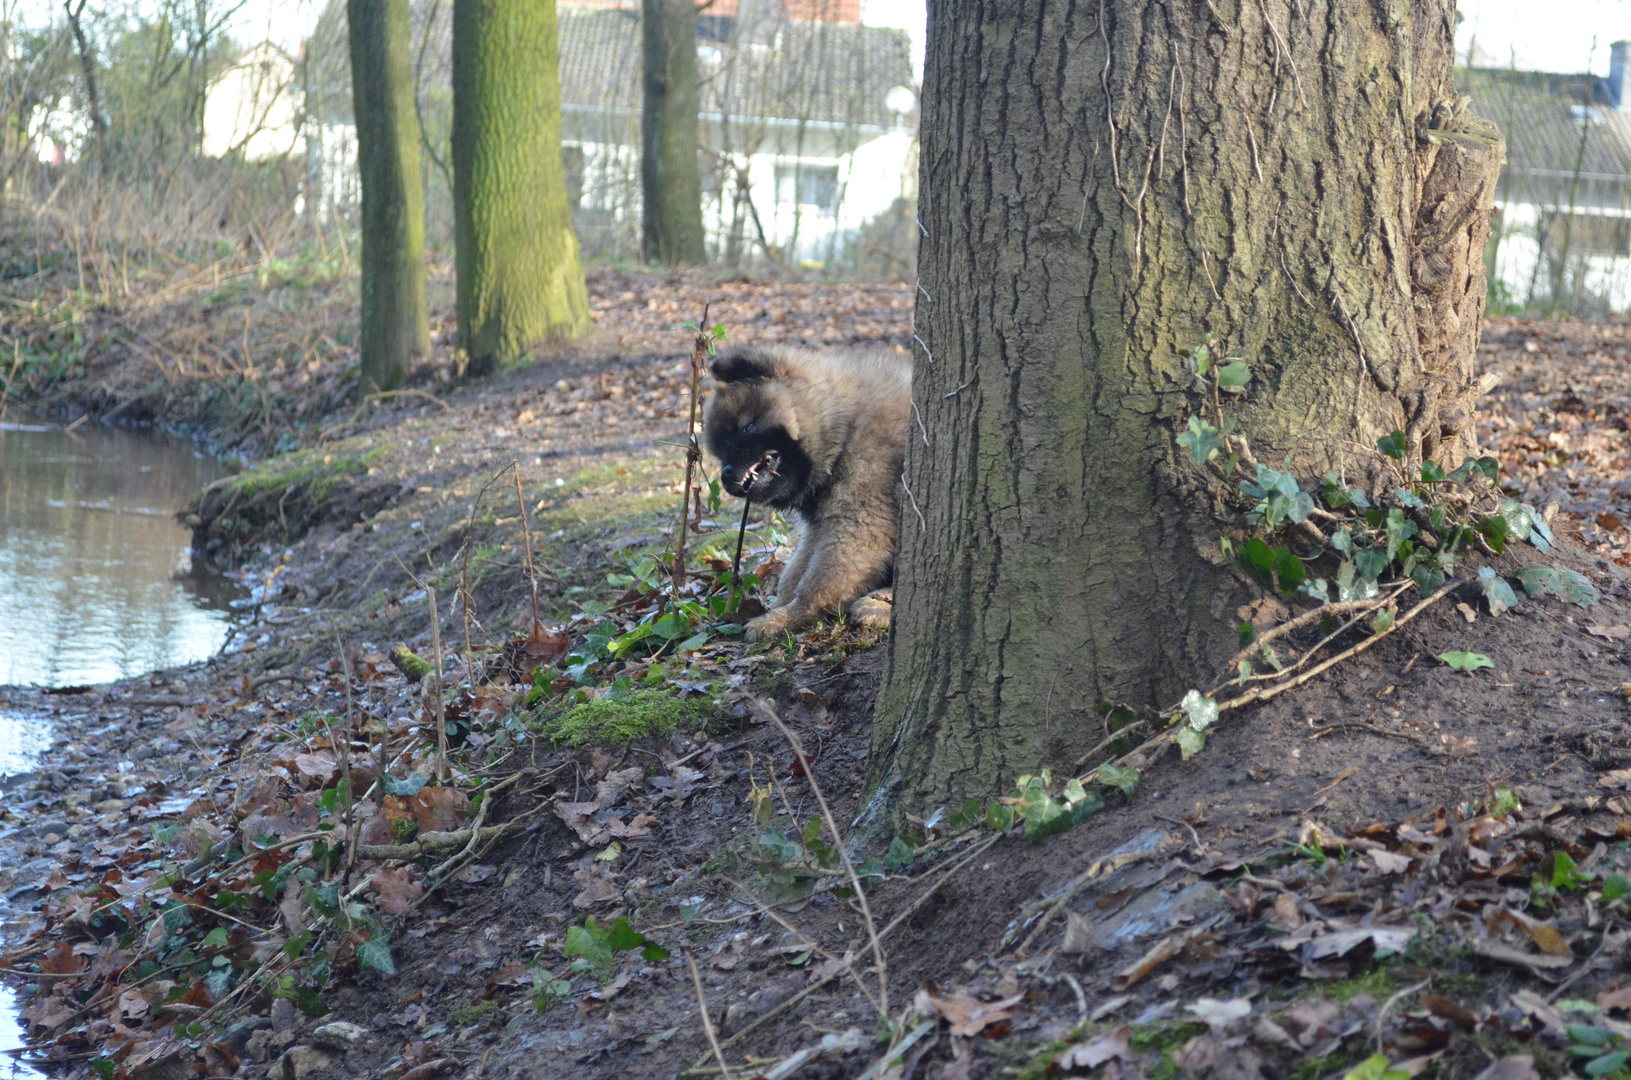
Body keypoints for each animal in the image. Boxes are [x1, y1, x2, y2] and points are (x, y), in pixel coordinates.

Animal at [698, 342, 913, 639]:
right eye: (721, 449)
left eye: (747, 427)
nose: (726, 474)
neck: (842, 426)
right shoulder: (820, 523)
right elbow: (796, 570)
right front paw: (777, 607)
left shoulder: (861, 518)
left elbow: (818, 581)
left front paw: (785, 618)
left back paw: (879, 605)